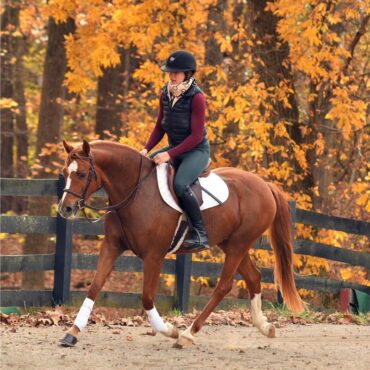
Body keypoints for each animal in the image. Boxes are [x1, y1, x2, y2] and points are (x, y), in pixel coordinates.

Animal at [57, 140, 302, 348]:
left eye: (81, 174)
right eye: (65, 173)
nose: (65, 209)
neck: (135, 192)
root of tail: (265, 185)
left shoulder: (154, 256)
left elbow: (147, 298)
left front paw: (170, 330)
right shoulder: (112, 247)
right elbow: (94, 287)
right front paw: (72, 333)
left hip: (238, 245)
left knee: (223, 287)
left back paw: (187, 334)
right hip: (231, 244)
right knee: (253, 277)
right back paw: (265, 326)